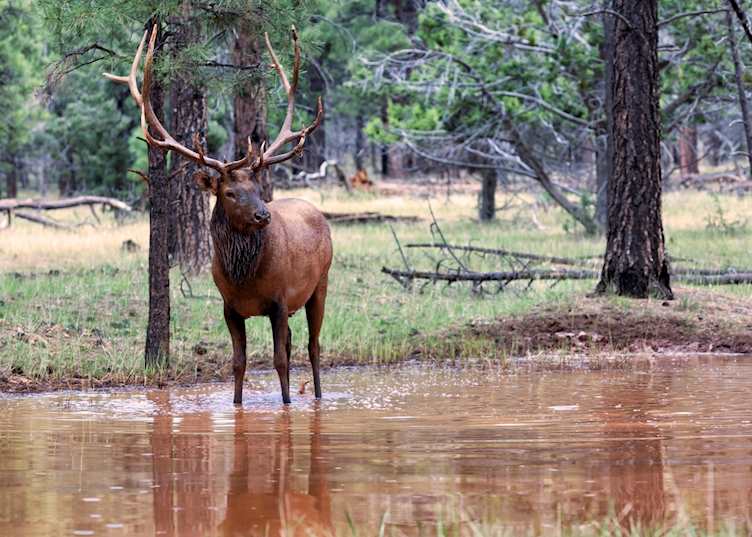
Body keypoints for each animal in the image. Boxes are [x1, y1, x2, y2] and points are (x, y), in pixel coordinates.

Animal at [105, 26, 332, 405]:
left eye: (258, 186)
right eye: (229, 192)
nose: (263, 215)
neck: (244, 278)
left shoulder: (280, 301)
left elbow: (279, 360)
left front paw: (286, 405)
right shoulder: (229, 307)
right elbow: (238, 362)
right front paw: (237, 404)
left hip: (320, 284)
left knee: (313, 347)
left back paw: (316, 396)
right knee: (295, 344)